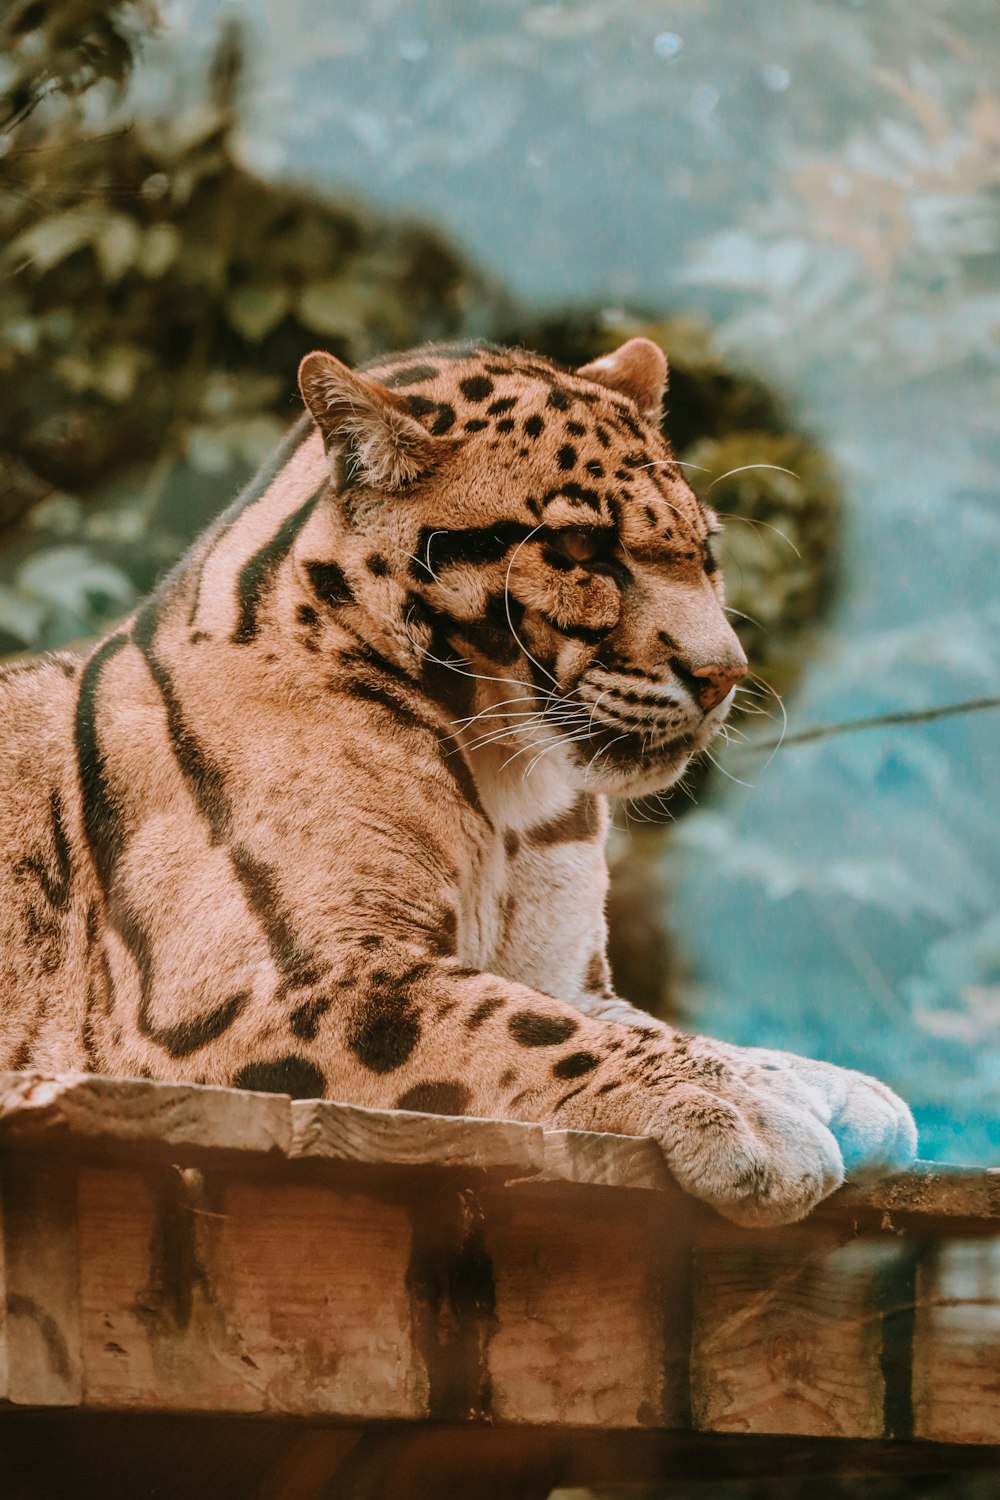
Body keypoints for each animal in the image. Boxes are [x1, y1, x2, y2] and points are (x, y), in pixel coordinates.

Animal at [0, 337, 917, 1218]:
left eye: (706, 552)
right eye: (579, 548)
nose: (725, 673)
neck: (511, 783)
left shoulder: (565, 973)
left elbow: (645, 1025)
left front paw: (818, 1083)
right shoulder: (252, 989)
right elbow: (517, 1026)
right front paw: (751, 1108)